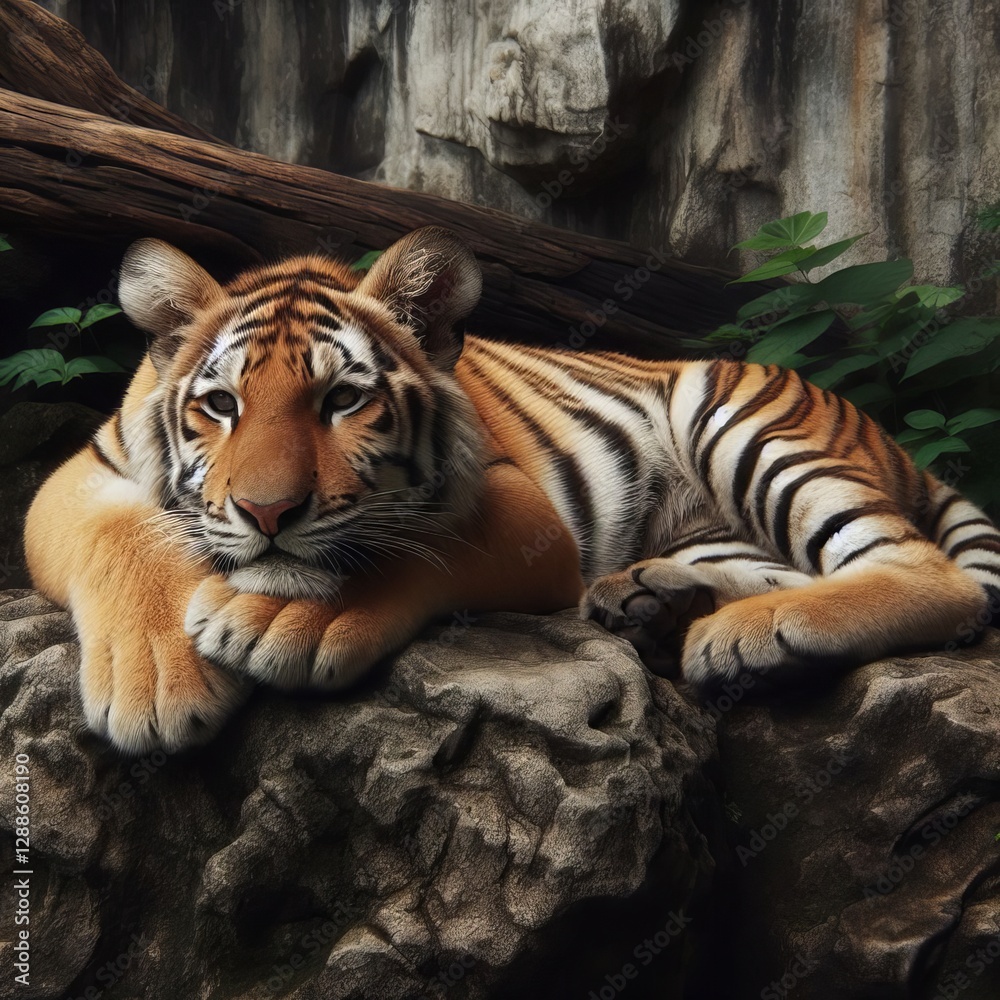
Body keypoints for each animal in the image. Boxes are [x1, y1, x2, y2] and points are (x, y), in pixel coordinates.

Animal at [24, 226, 1000, 754]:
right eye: (220, 406)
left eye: (342, 401)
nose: (267, 514)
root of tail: (886, 435)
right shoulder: (75, 478)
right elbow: (124, 538)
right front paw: (157, 687)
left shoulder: (522, 510)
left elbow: (413, 542)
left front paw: (286, 611)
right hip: (712, 524)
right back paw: (661, 606)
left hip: (739, 420)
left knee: (925, 572)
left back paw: (743, 633)